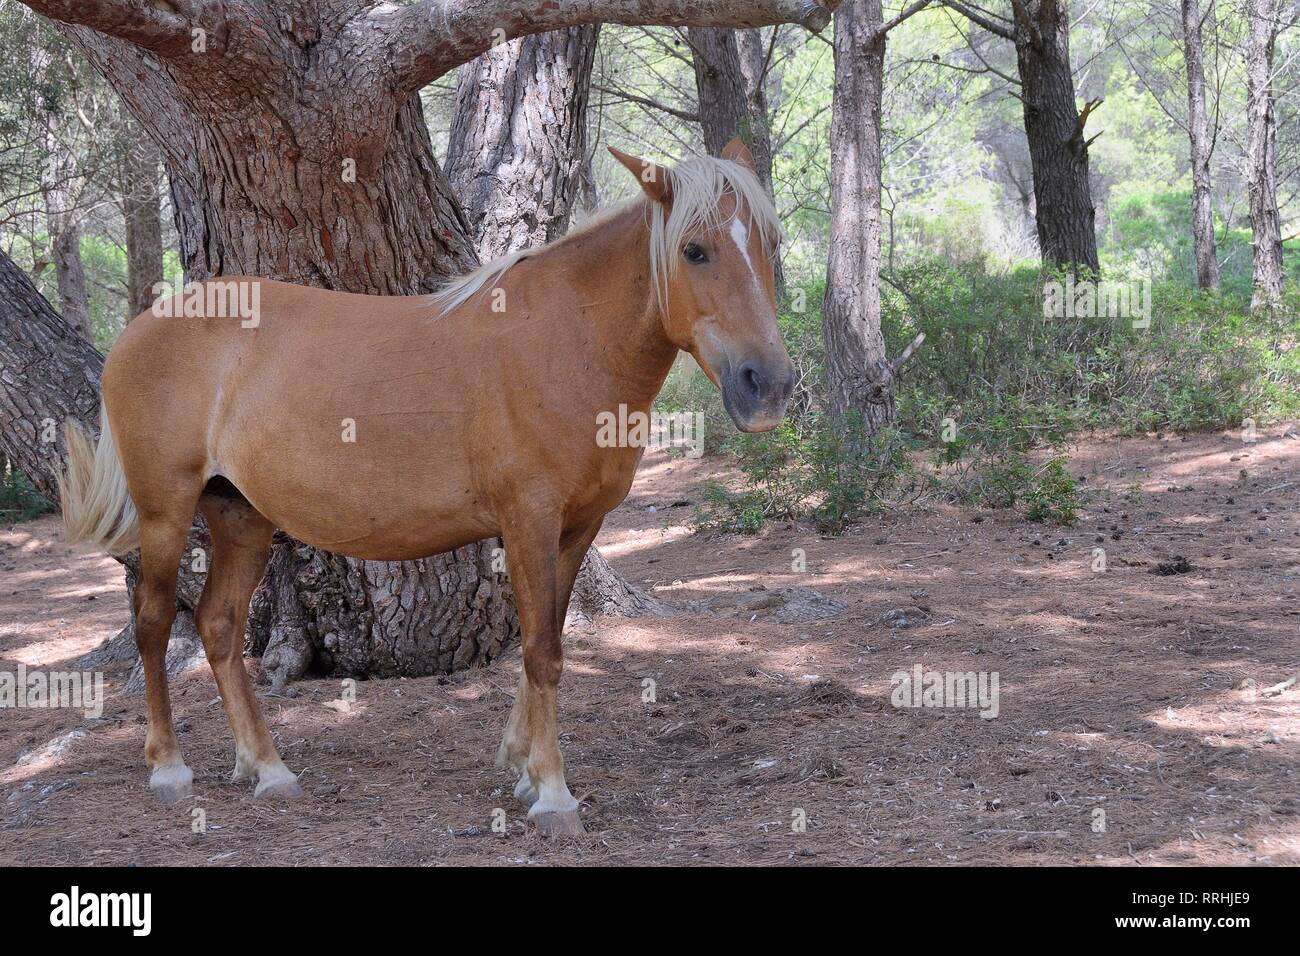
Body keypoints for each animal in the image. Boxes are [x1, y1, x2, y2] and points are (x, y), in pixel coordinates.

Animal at [58, 136, 790, 837]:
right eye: (694, 250)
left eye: (770, 244)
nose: (769, 385)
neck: (569, 340)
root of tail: (137, 331)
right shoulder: (529, 520)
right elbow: (543, 653)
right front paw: (554, 795)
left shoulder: (577, 526)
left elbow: (545, 641)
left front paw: (524, 770)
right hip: (166, 512)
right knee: (156, 624)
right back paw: (170, 769)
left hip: (242, 517)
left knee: (217, 626)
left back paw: (266, 769)